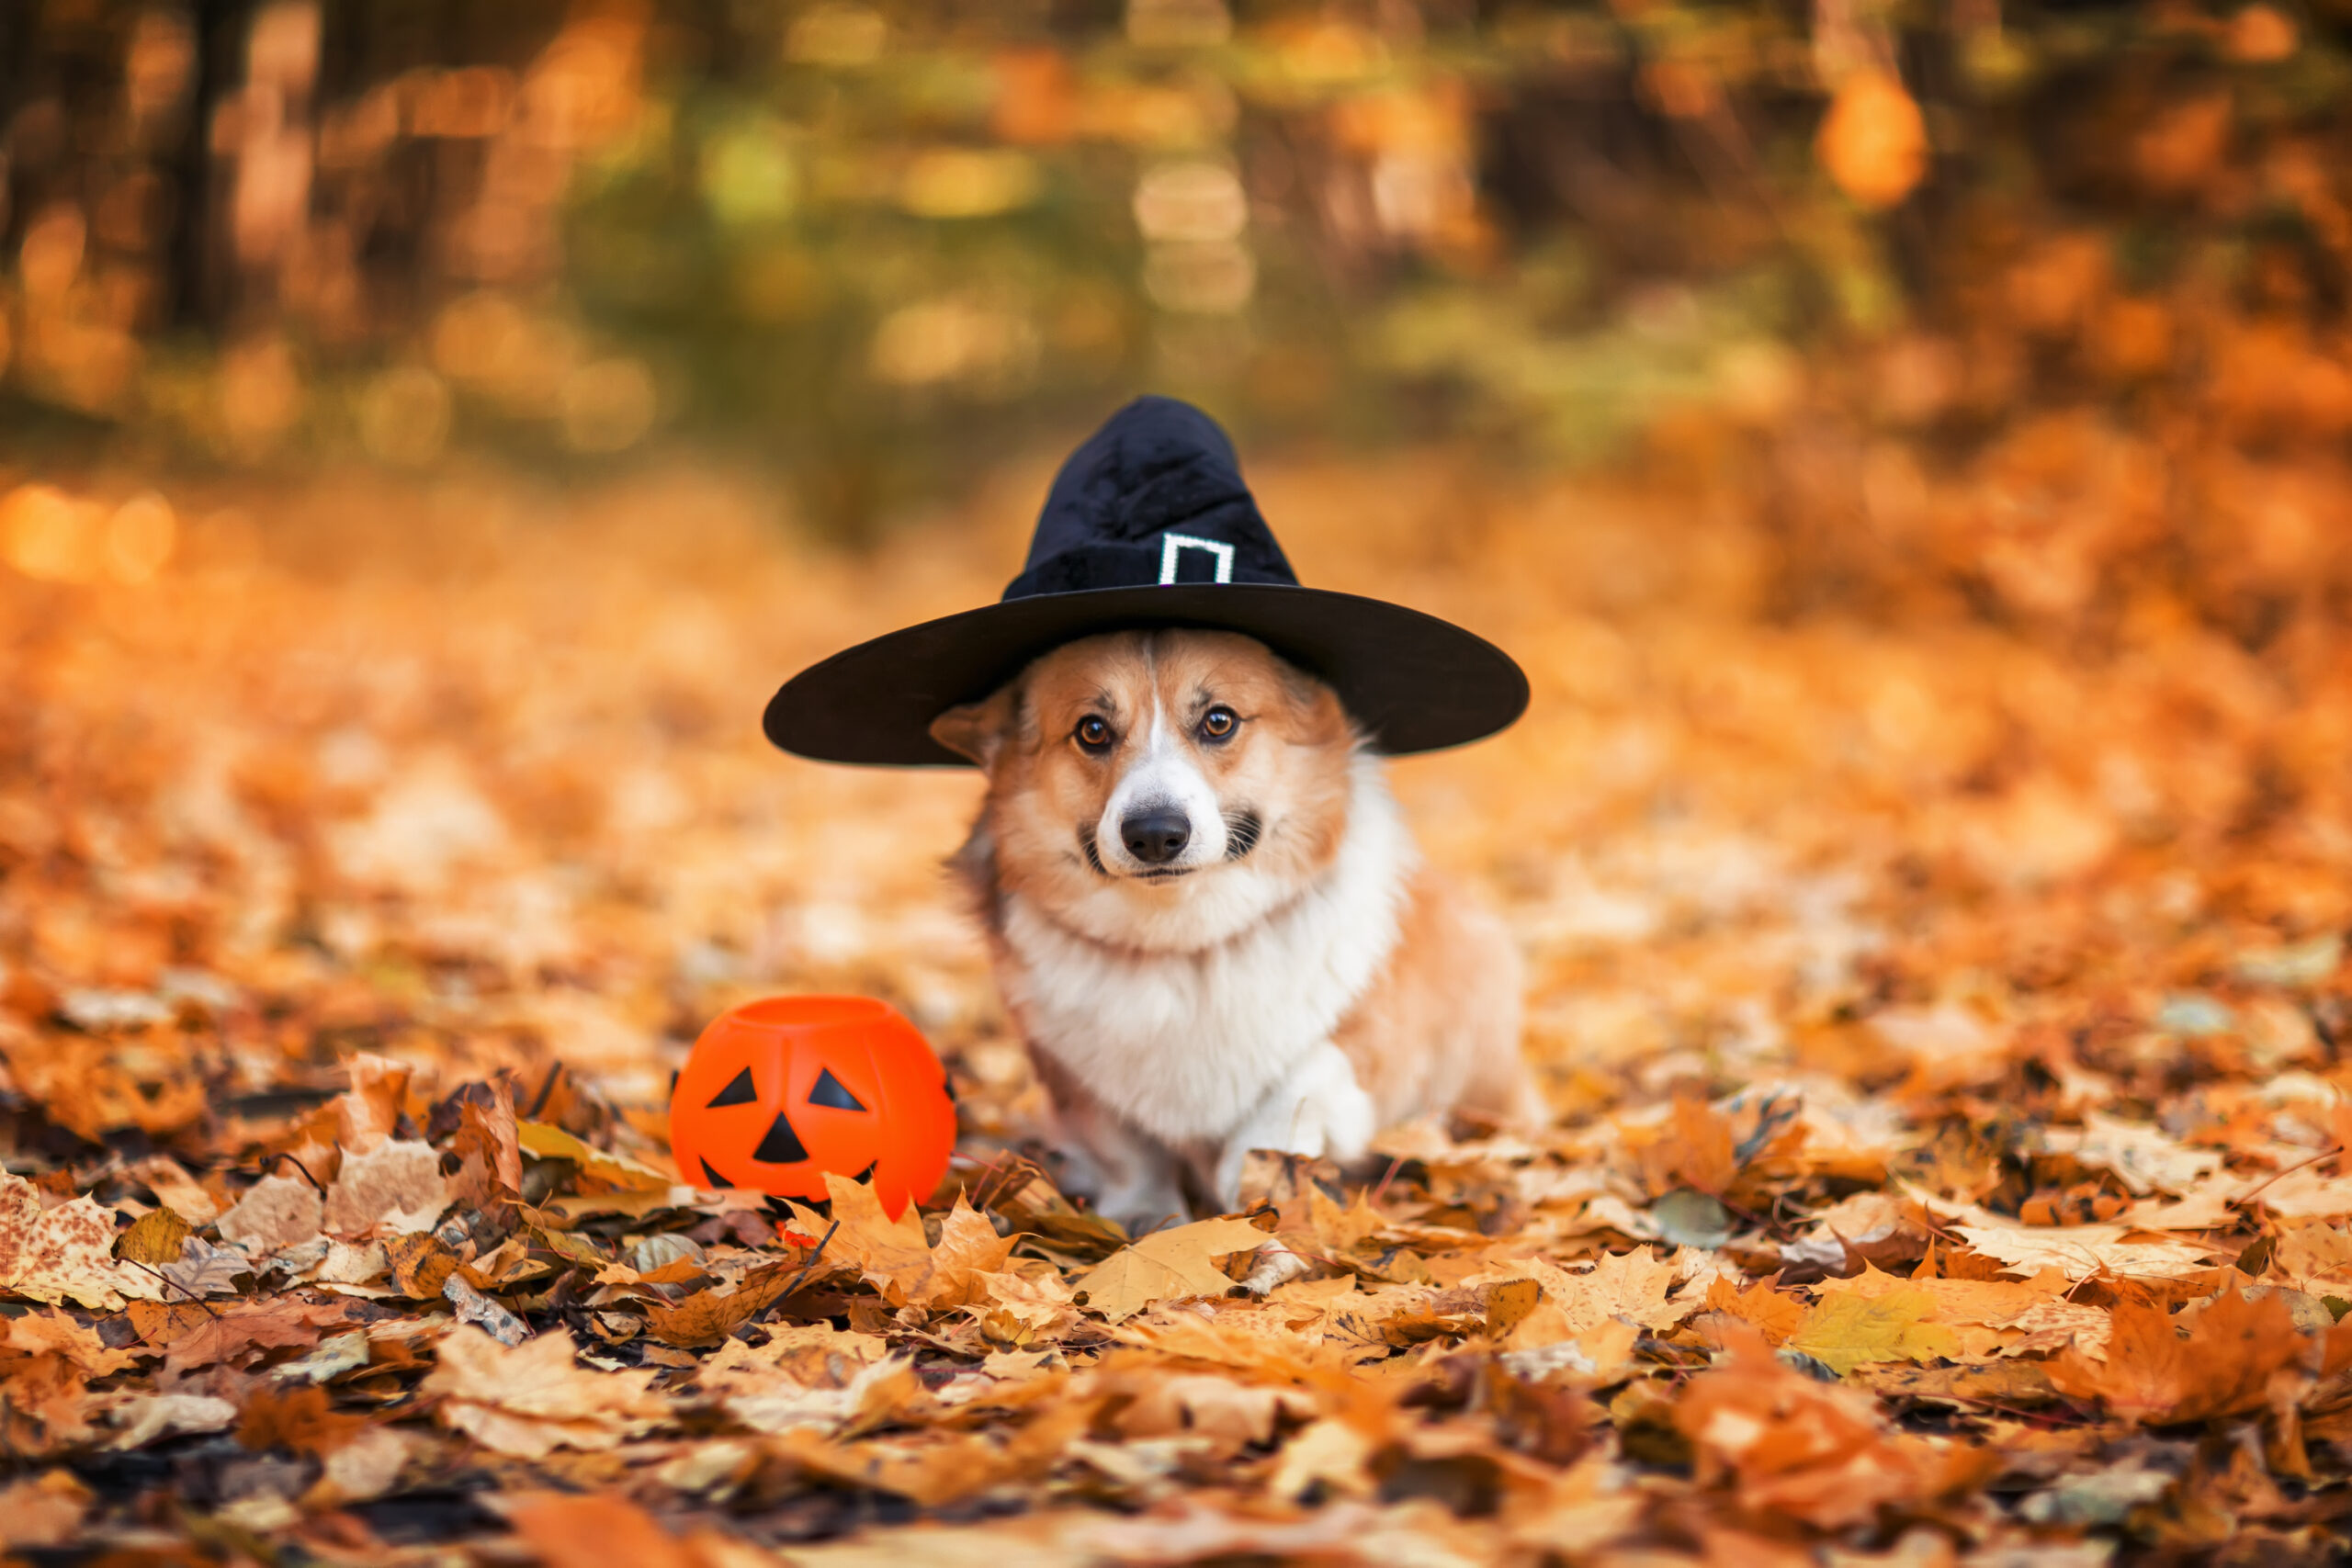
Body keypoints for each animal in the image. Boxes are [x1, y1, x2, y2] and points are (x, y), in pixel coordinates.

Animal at [926, 620, 1533, 1222]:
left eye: (1219, 721)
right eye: (1092, 730)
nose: (1155, 835)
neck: (1183, 941)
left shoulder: (1369, 1037)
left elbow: (1299, 1086)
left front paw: (1256, 1187)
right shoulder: (1074, 1077)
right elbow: (1125, 1150)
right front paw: (1145, 1219)